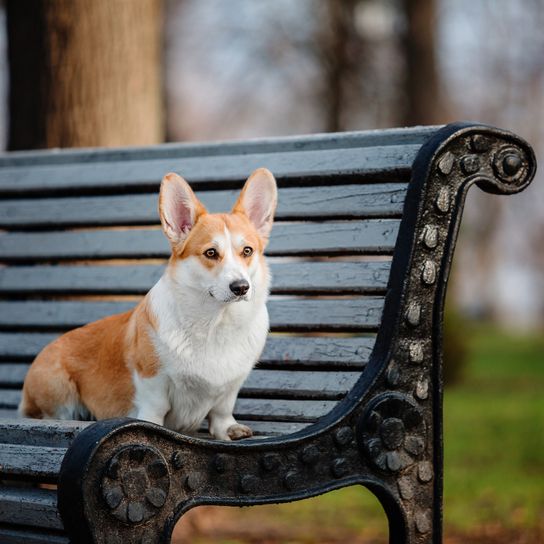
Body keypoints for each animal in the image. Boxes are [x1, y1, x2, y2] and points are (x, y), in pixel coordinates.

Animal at [19, 168, 278, 440]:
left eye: (247, 251)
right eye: (210, 253)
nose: (241, 287)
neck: (216, 321)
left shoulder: (231, 386)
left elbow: (222, 410)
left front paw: (228, 429)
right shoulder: (152, 377)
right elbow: (156, 408)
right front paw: (149, 428)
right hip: (58, 388)